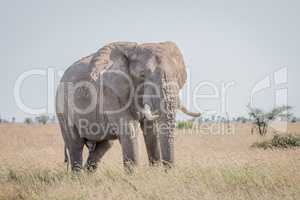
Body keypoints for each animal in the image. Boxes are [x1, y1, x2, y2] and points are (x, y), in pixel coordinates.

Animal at [56, 41, 199, 172]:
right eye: (142, 75)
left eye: (177, 76)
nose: (168, 172)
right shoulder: (110, 92)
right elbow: (129, 130)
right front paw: (133, 177)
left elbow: (151, 131)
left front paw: (154, 173)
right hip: (62, 110)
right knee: (75, 145)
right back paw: (78, 177)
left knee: (103, 146)